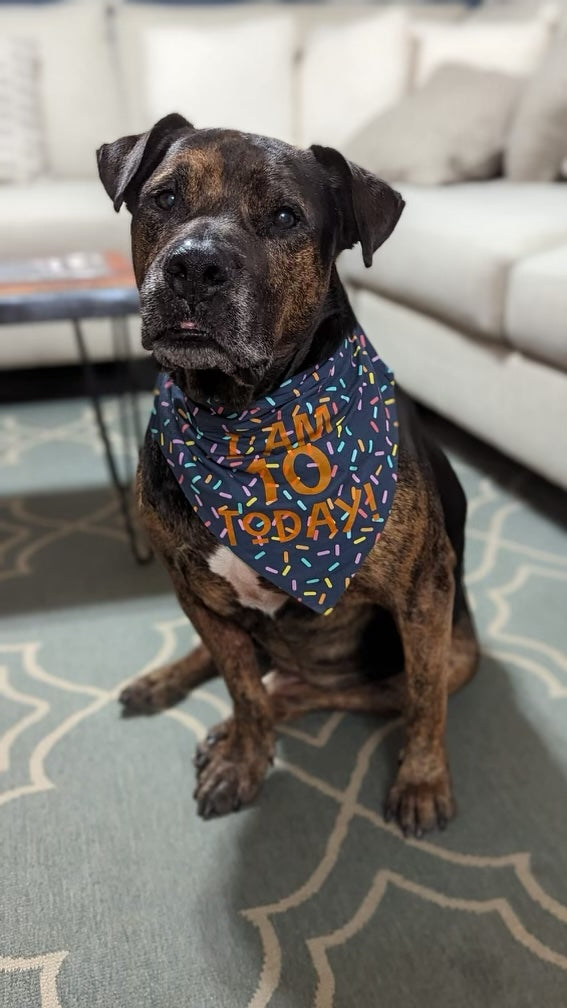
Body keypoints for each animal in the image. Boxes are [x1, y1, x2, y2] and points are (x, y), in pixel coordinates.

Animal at [96, 112, 476, 834]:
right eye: (163, 198)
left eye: (284, 216)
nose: (194, 266)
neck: (241, 412)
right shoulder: (192, 590)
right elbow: (241, 689)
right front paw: (243, 757)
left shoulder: (424, 590)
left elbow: (423, 703)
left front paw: (421, 780)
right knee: (259, 676)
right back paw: (165, 683)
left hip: (455, 649)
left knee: (330, 693)